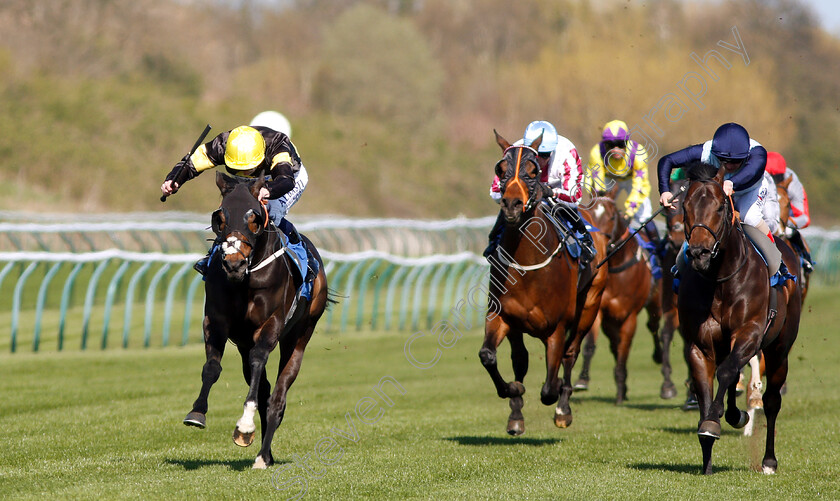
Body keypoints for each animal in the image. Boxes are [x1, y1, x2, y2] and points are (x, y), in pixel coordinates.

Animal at [184, 172, 328, 468]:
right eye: (220, 217)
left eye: (254, 217)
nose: (234, 264)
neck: (245, 279)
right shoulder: (216, 321)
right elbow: (212, 367)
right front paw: (197, 413)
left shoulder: (271, 324)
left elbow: (260, 361)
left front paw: (245, 426)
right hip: (243, 344)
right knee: (264, 389)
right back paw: (266, 452)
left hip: (300, 334)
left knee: (278, 395)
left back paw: (262, 455)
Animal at [476, 131, 608, 436]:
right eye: (500, 169)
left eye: (533, 170)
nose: (511, 204)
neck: (528, 266)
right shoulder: (503, 317)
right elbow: (491, 356)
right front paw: (514, 395)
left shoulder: (556, 327)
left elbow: (549, 387)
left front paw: (558, 395)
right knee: (522, 359)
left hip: (589, 306)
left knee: (570, 353)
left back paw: (564, 409)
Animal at [572, 195, 668, 402]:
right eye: (588, 215)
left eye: (611, 217)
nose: (596, 242)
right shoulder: (599, 309)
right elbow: (591, 345)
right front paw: (583, 379)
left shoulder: (629, 316)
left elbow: (624, 350)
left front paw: (621, 387)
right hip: (610, 321)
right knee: (614, 343)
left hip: (655, 302)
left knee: (653, 326)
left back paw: (657, 356)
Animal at [676, 163, 800, 472]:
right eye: (685, 206)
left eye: (720, 206)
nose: (699, 253)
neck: (719, 278)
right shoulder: (700, 344)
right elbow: (706, 387)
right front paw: (707, 452)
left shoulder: (750, 333)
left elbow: (726, 373)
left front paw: (714, 421)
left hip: (779, 348)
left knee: (771, 400)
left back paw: (768, 460)